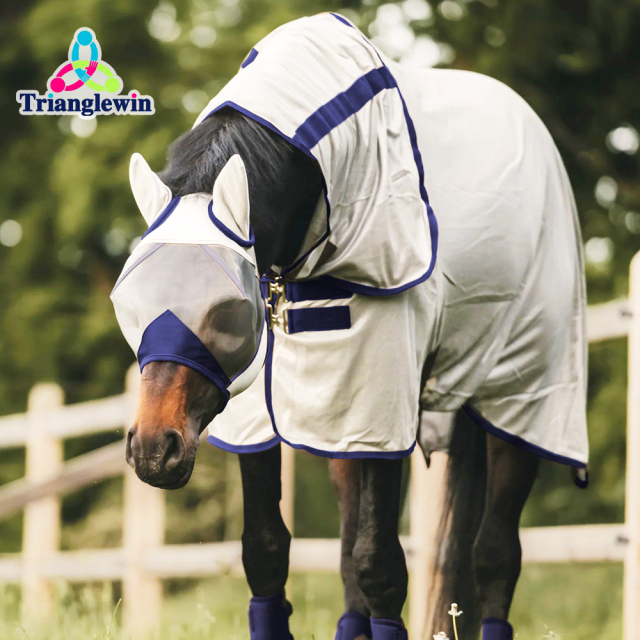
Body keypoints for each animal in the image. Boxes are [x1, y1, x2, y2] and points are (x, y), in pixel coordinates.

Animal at [111, 13, 588, 640]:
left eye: (226, 307)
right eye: (130, 300)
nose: (153, 449)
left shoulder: (380, 410)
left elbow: (380, 566)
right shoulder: (266, 410)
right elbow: (267, 551)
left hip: (524, 398)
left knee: (494, 555)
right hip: (338, 422)